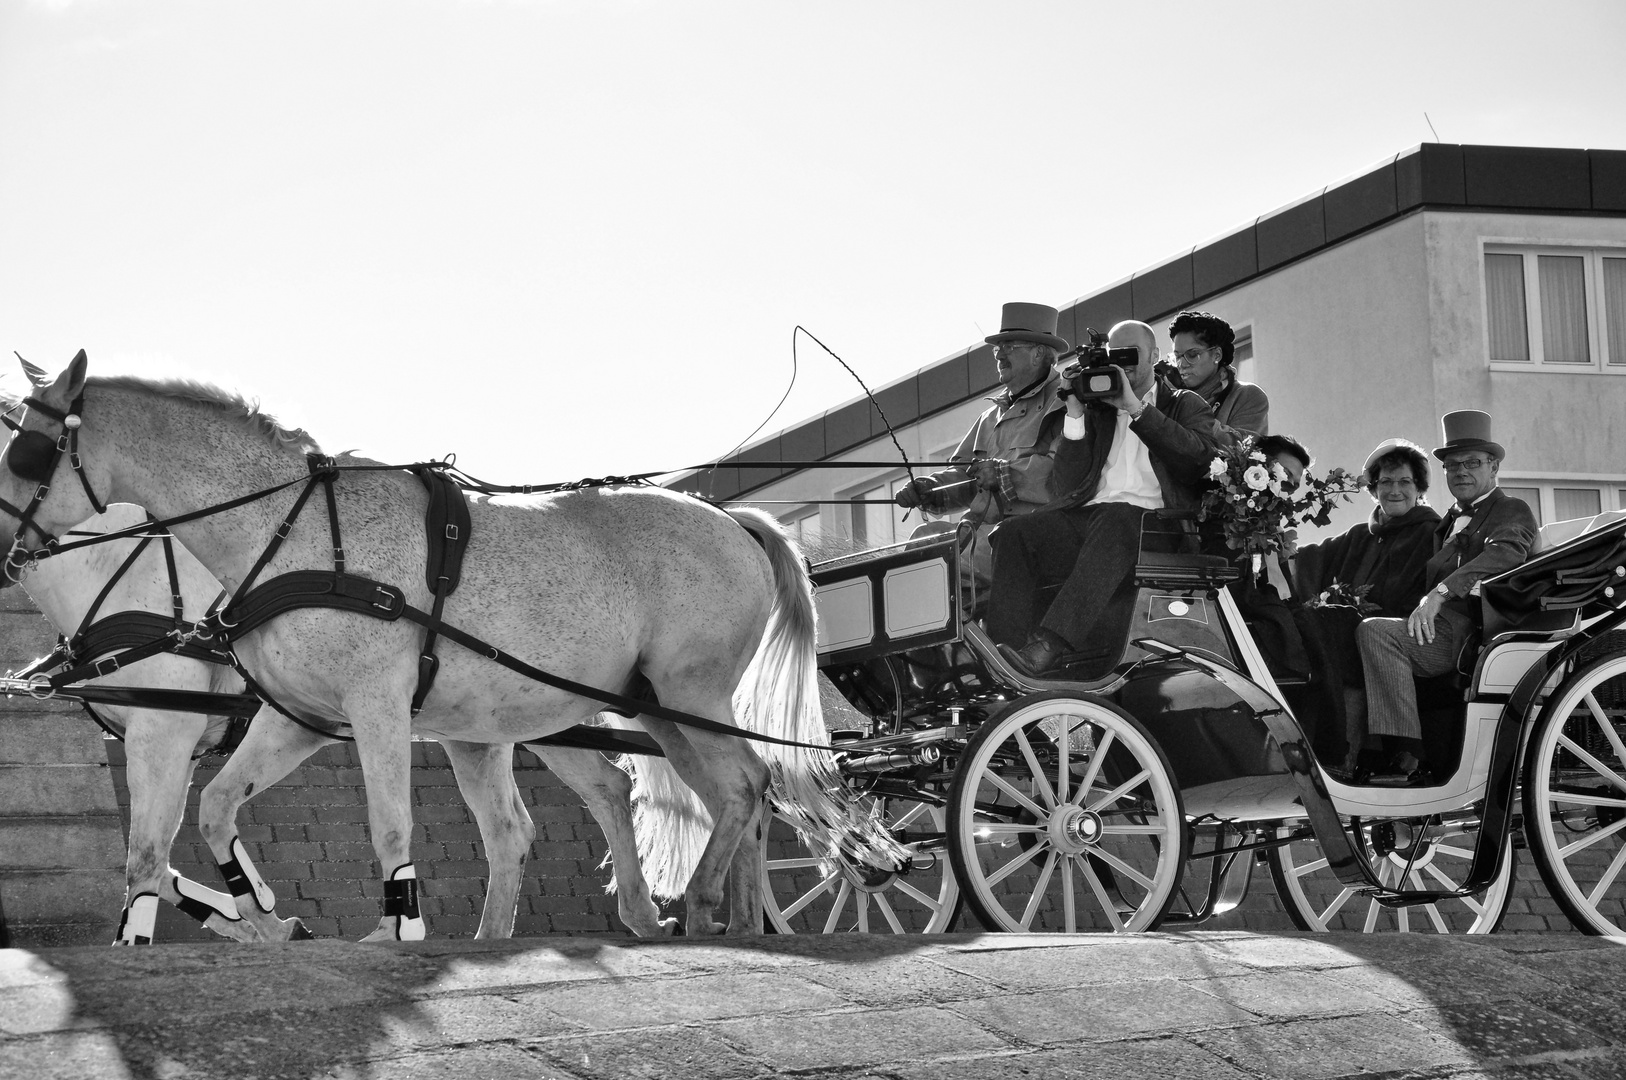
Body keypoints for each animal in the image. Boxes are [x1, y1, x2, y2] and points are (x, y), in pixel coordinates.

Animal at [0, 352, 891, 936]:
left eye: (25, 450)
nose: (0, 541)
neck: (292, 533)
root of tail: (729, 516)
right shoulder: (294, 716)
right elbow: (211, 815)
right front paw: (264, 914)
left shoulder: (361, 711)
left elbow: (386, 832)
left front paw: (394, 933)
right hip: (619, 709)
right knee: (690, 796)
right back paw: (706, 920)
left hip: (686, 690)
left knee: (741, 785)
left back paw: (707, 909)